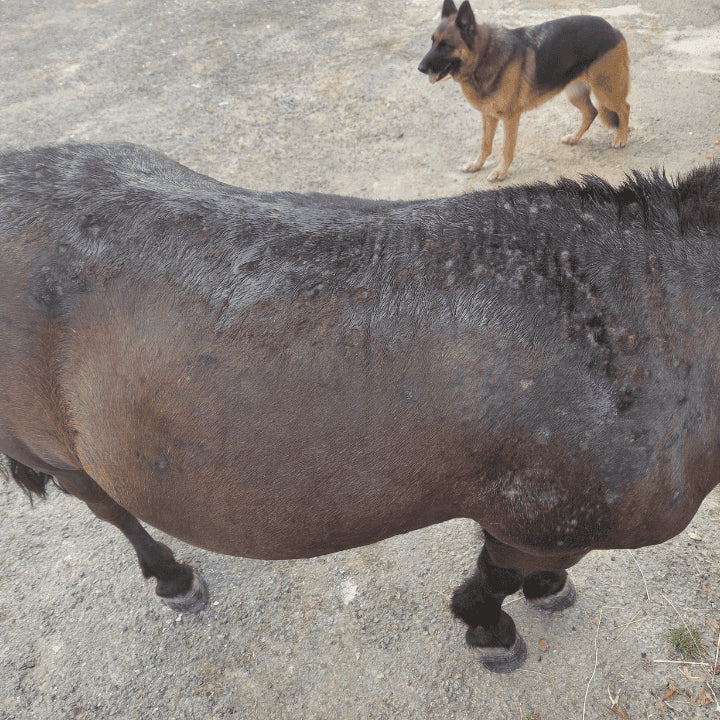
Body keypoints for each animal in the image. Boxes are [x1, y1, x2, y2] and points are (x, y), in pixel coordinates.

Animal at [2, 142, 719, 673]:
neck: (653, 321)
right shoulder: (538, 526)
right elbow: (494, 580)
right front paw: (490, 630)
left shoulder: (534, 525)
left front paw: (542, 595)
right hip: (57, 452)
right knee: (108, 506)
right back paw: (172, 577)